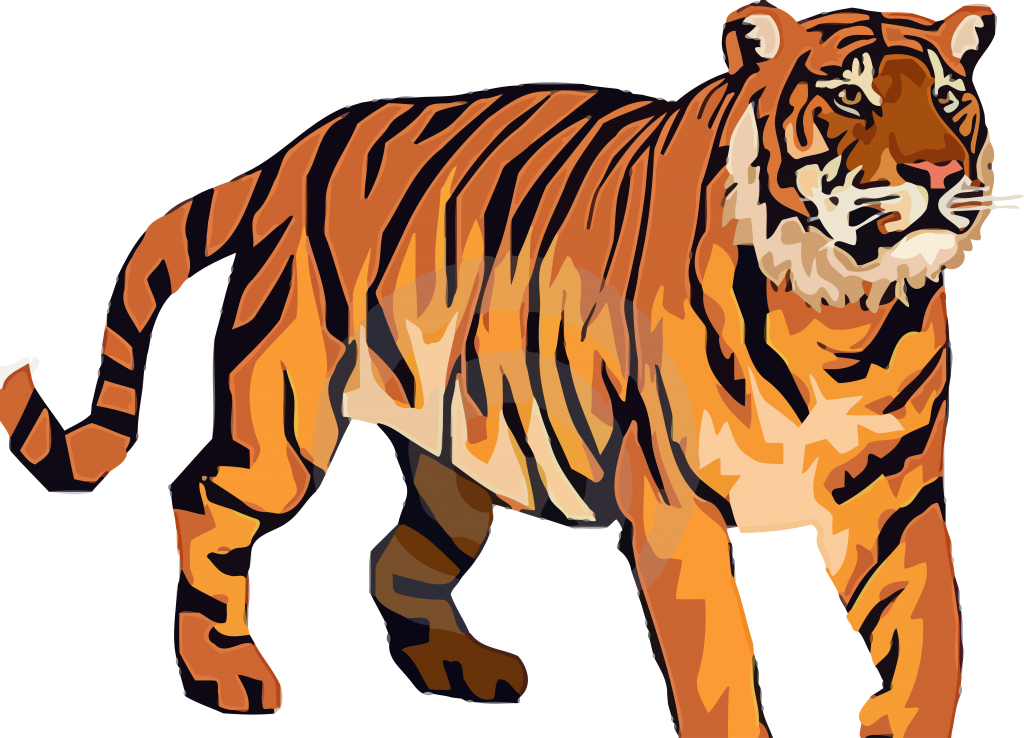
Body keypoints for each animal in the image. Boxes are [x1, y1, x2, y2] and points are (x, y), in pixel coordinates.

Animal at [0, 3, 1012, 734]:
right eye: (850, 99)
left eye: (950, 101)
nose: (937, 176)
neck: (838, 312)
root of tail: (292, 154)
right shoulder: (677, 507)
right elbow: (717, 657)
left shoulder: (893, 496)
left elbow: (932, 631)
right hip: (285, 423)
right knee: (204, 500)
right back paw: (228, 674)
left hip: (459, 463)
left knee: (392, 558)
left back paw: (462, 668)